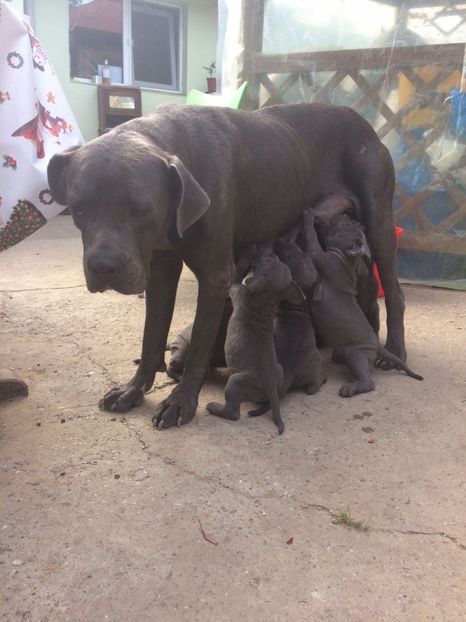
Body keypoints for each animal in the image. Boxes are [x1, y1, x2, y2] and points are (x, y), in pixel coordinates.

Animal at [205, 246, 302, 436]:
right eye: (274, 258)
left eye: (267, 260)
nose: (266, 249)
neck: (266, 302)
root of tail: (271, 386)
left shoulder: (237, 288)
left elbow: (236, 276)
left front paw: (246, 255)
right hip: (278, 370)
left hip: (235, 382)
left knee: (233, 413)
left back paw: (214, 408)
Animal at [306, 214, 422, 400]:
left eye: (340, 228)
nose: (343, 215)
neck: (348, 260)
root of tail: (377, 345)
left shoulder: (324, 259)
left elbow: (312, 242)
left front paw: (307, 217)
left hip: (356, 354)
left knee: (369, 382)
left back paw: (351, 388)